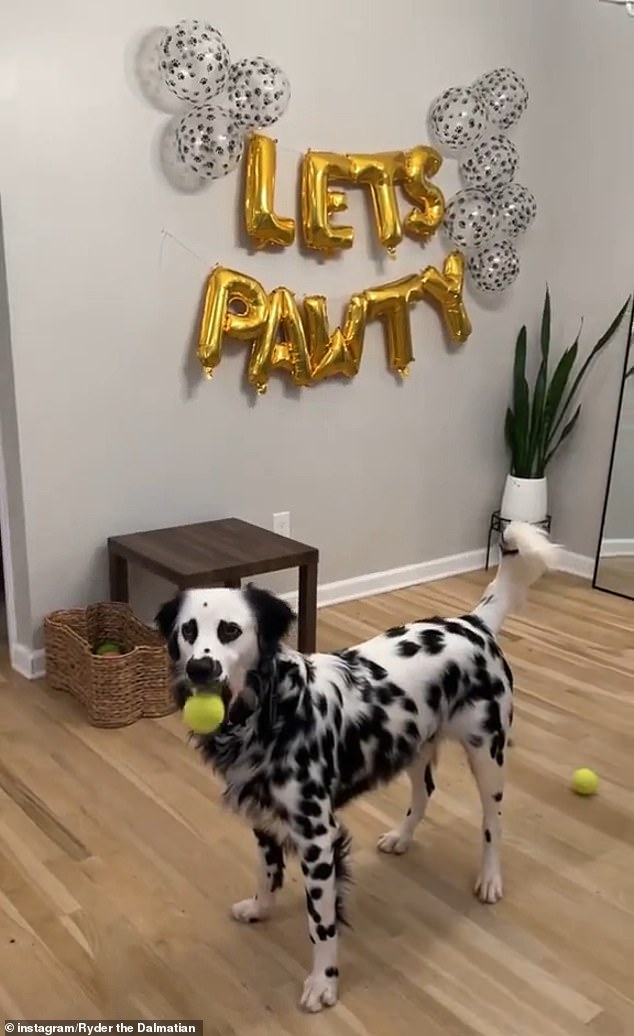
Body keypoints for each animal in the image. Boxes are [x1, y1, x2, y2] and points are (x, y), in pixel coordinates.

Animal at [156, 522, 555, 1006]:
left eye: (230, 630)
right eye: (188, 631)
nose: (199, 668)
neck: (276, 709)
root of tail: (473, 624)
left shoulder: (318, 838)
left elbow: (321, 924)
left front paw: (323, 982)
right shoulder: (264, 815)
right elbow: (267, 872)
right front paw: (260, 908)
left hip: (487, 754)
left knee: (492, 823)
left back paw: (490, 878)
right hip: (414, 744)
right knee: (424, 793)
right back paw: (401, 837)